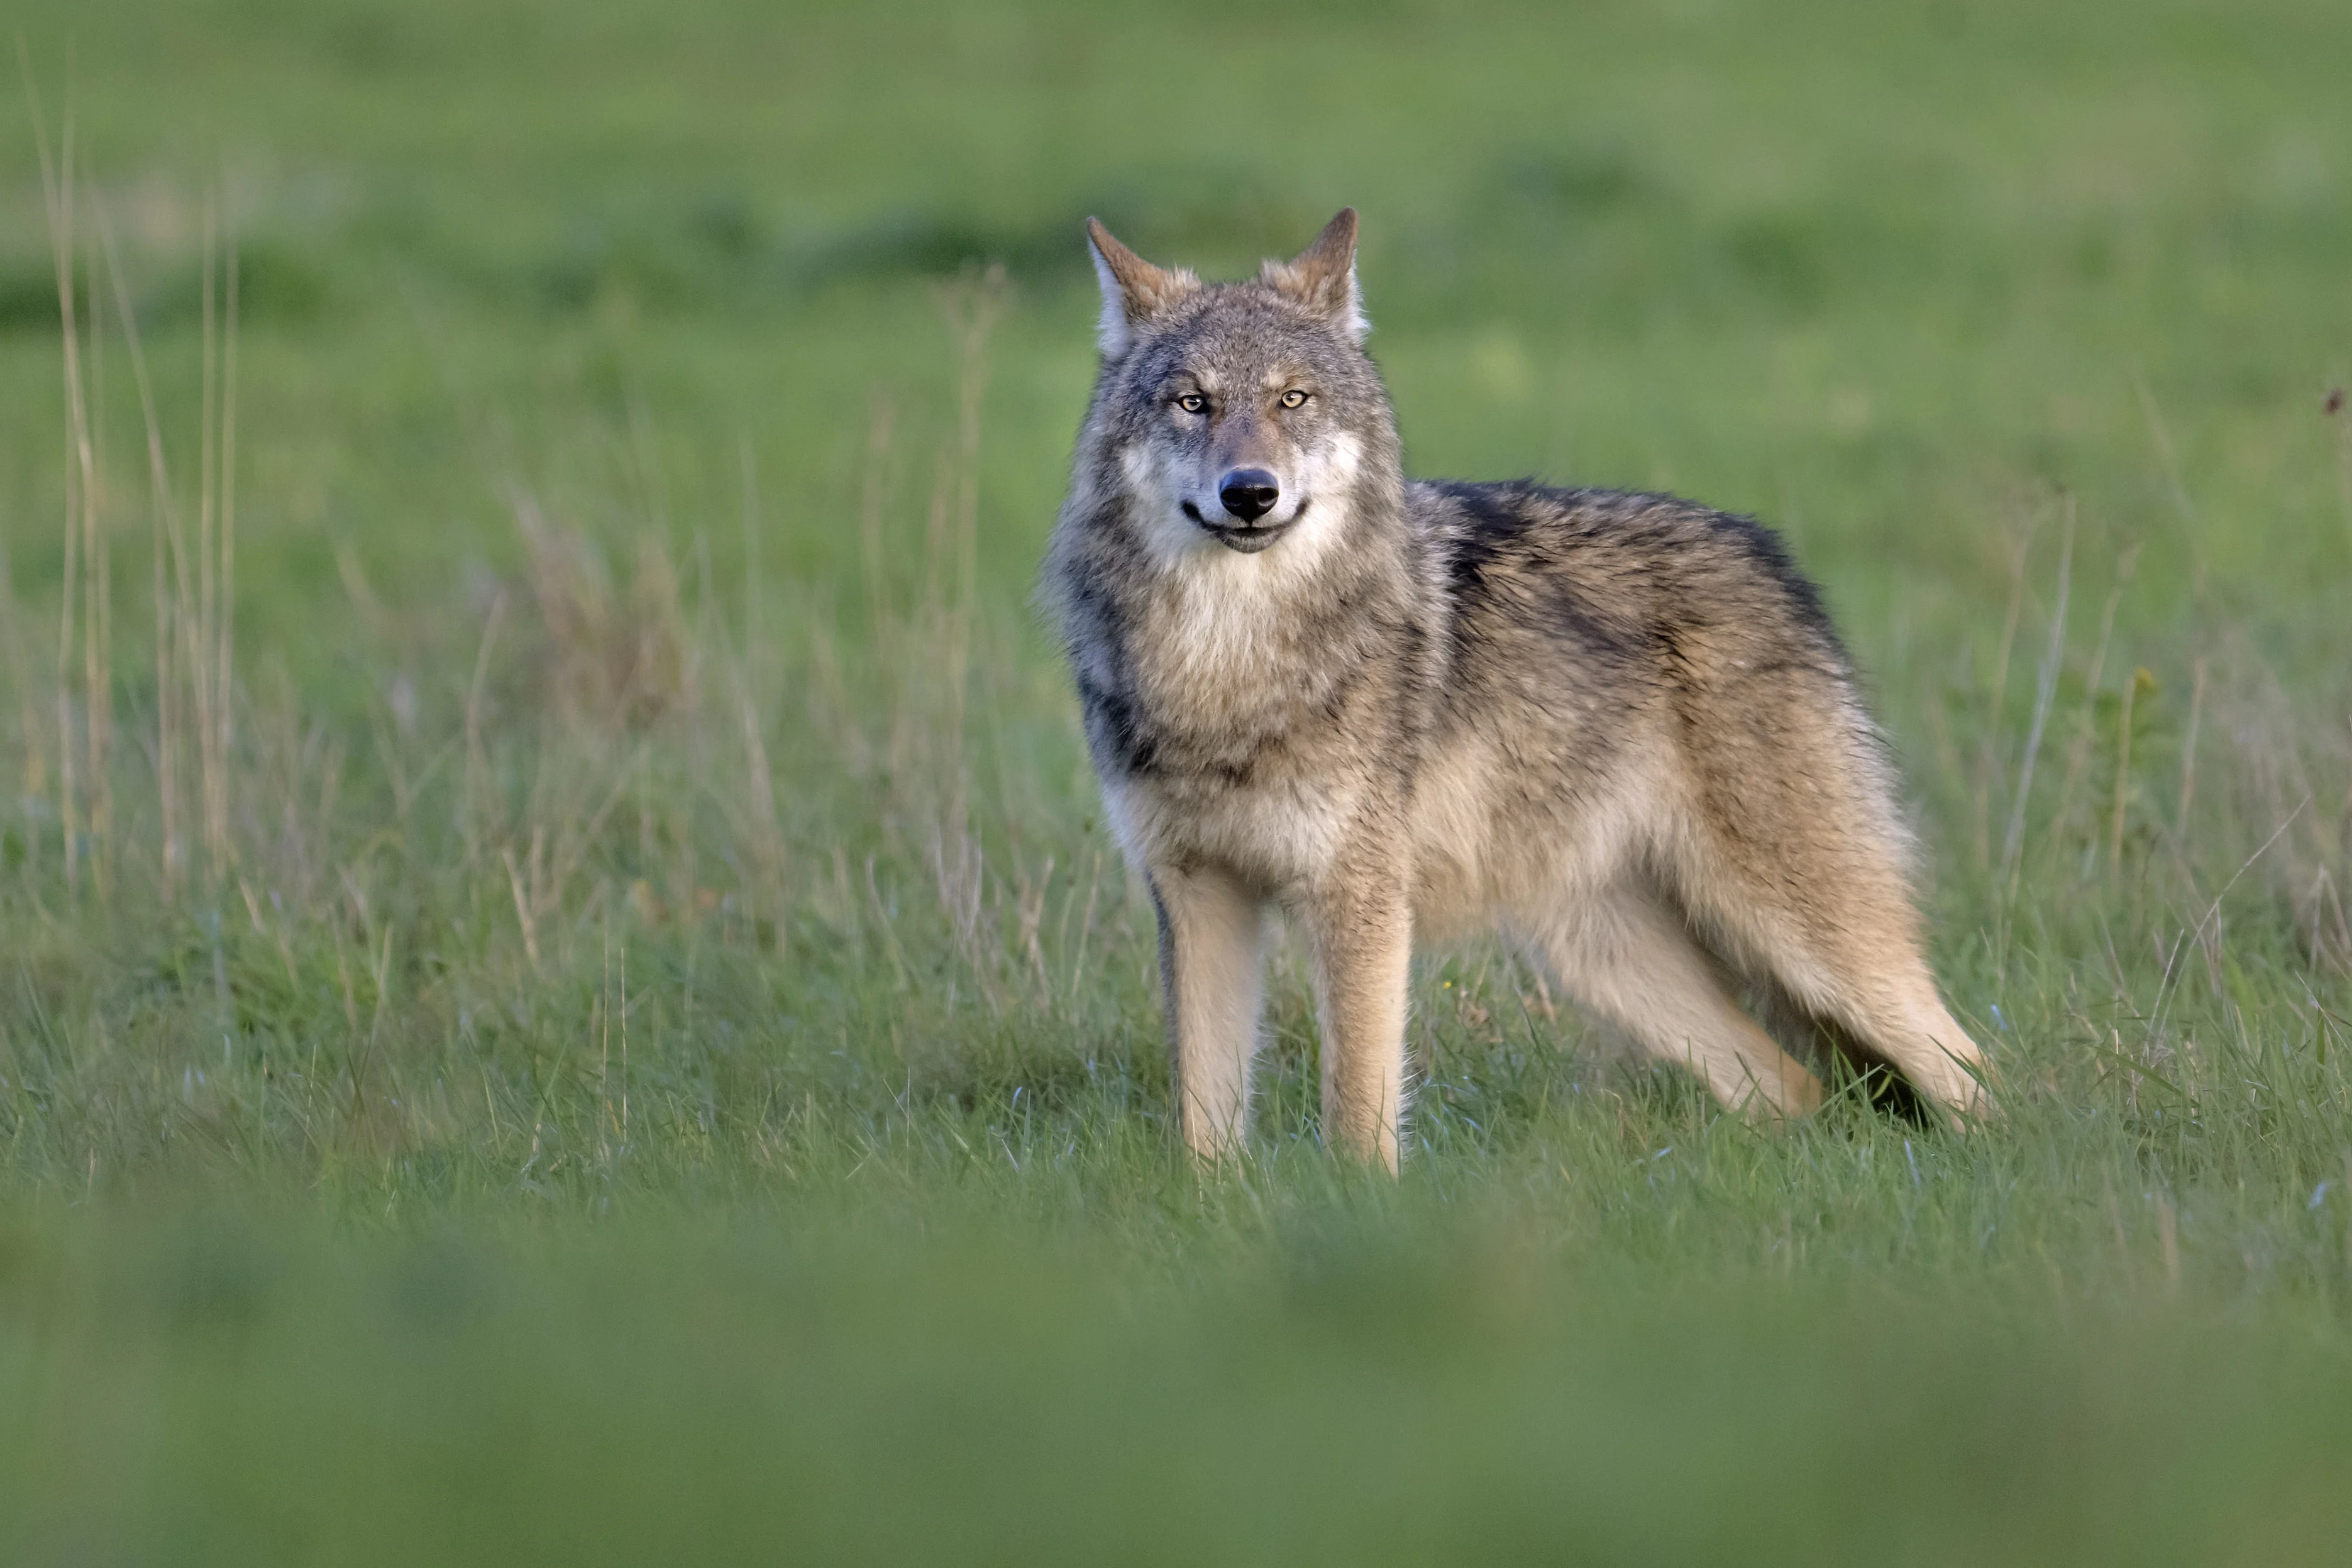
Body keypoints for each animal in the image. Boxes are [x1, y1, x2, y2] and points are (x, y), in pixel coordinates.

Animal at [1042, 209, 1987, 1171]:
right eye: (1192, 402)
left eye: (1292, 401)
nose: (1249, 493)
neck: (1226, 667)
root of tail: (1773, 559)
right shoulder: (1198, 896)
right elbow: (1204, 1128)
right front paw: (1216, 1201)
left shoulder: (1360, 900)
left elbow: (1357, 1116)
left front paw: (1354, 1203)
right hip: (1605, 956)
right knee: (1795, 1088)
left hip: (1809, 939)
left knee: (1971, 1070)